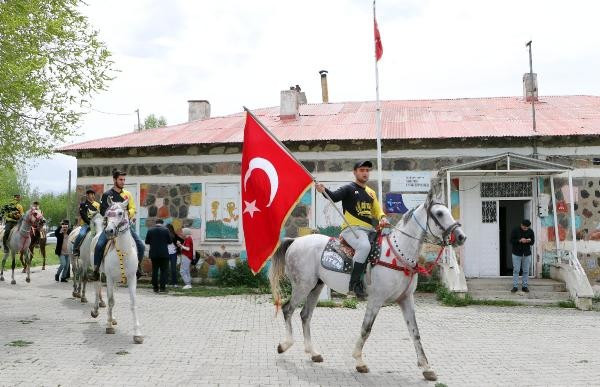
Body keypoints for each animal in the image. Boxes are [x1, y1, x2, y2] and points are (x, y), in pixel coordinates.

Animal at [270, 191, 466, 382]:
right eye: (439, 213)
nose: (461, 236)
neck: (398, 254)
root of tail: (295, 241)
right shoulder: (376, 299)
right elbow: (366, 329)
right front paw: (359, 361)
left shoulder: (406, 299)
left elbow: (415, 332)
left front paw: (426, 368)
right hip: (302, 286)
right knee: (288, 309)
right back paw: (284, 345)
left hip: (315, 287)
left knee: (305, 315)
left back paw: (313, 353)